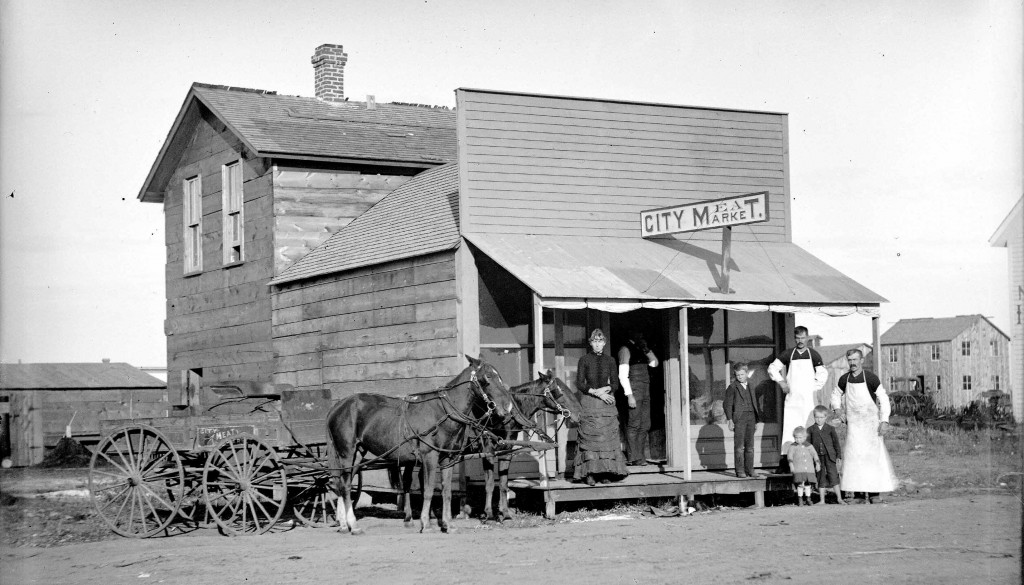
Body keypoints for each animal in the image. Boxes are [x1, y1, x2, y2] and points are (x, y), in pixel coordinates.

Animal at [325, 355, 519, 534]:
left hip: (358, 455)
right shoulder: (429, 456)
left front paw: (448, 524)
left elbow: (446, 491)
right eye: (487, 378)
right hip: (346, 453)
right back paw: (353, 525)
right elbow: (428, 490)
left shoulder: (448, 458)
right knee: (345, 486)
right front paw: (426, 524)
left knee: (343, 484)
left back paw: (344, 524)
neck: (443, 413)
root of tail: (338, 405)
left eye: (499, 376)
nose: (508, 407)